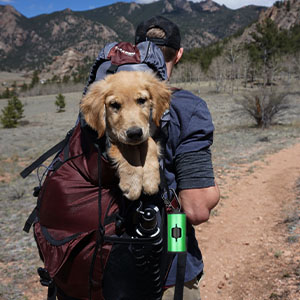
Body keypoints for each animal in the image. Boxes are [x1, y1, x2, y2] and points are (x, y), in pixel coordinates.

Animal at [79, 71, 171, 200]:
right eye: (114, 105)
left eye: (141, 100)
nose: (135, 133)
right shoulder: (112, 139)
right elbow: (128, 150)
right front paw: (132, 184)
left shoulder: (149, 132)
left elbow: (150, 143)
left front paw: (150, 179)